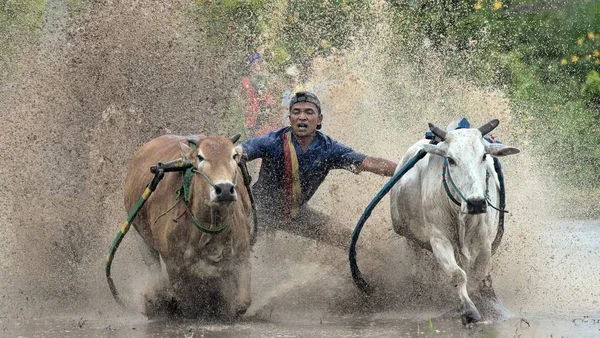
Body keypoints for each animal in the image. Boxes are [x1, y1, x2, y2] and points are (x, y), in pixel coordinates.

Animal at [123, 133, 252, 318]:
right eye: (200, 157)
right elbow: (181, 296)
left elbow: (243, 302)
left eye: (234, 156)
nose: (225, 189)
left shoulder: (242, 255)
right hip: (140, 237)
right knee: (154, 268)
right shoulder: (173, 264)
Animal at [392, 120, 516, 326]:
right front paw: (469, 310)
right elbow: (457, 274)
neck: (461, 215)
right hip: (408, 236)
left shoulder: (484, 243)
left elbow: (477, 275)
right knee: (417, 262)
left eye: (484, 156)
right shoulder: (439, 239)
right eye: (450, 159)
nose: (476, 203)